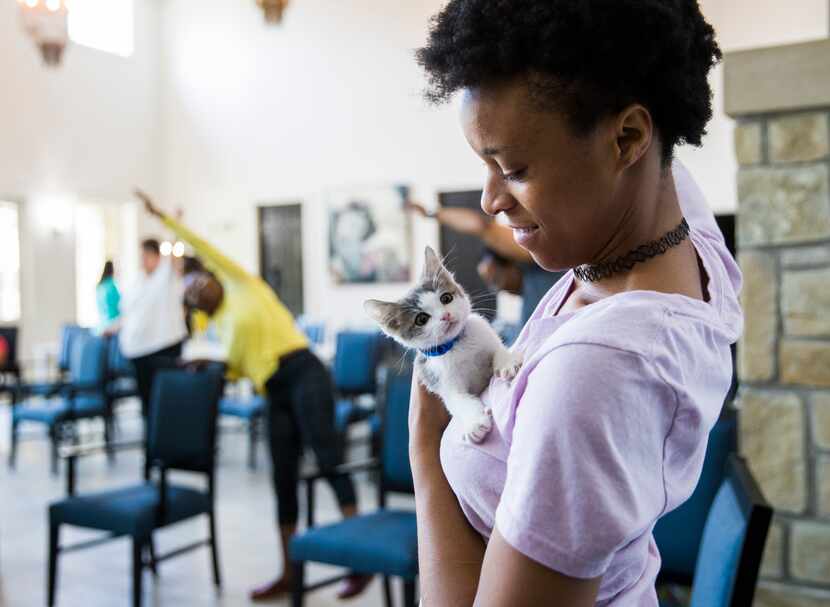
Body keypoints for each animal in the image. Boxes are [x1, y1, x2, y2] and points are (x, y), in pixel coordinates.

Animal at [368, 246, 524, 442]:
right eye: (421, 319)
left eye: (446, 298)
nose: (446, 315)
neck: (458, 345)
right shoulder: (438, 379)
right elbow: (458, 400)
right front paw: (475, 423)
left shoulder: (484, 333)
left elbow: (498, 349)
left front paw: (506, 362)